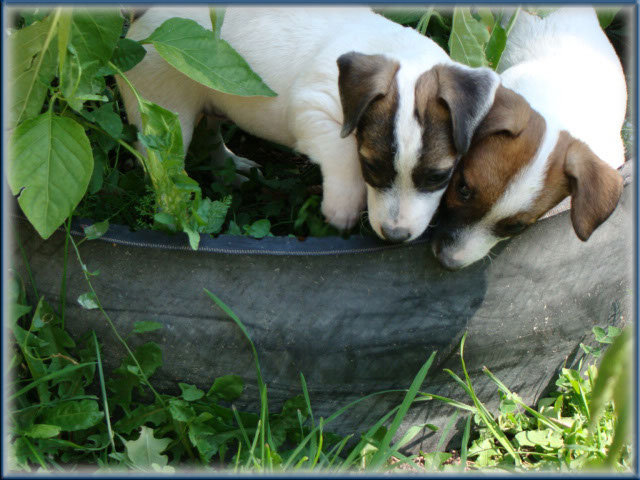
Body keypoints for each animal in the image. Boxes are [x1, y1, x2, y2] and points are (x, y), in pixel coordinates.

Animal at [120, 6, 500, 242]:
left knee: (210, 134)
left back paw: (230, 166)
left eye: (438, 177)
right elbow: (343, 149)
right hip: (164, 112)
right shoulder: (312, 108)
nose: (394, 237)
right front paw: (342, 206)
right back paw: (174, 214)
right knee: (165, 169)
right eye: (370, 167)